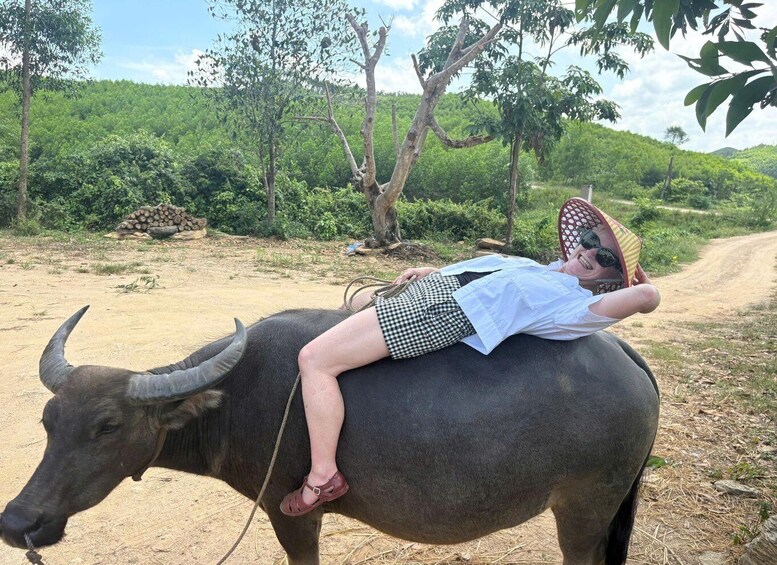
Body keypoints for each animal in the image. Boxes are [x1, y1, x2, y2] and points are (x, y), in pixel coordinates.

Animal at [1, 306, 659, 564]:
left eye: (107, 426)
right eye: (49, 421)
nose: (17, 521)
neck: (234, 399)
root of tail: (628, 357)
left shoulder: (291, 513)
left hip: (583, 508)